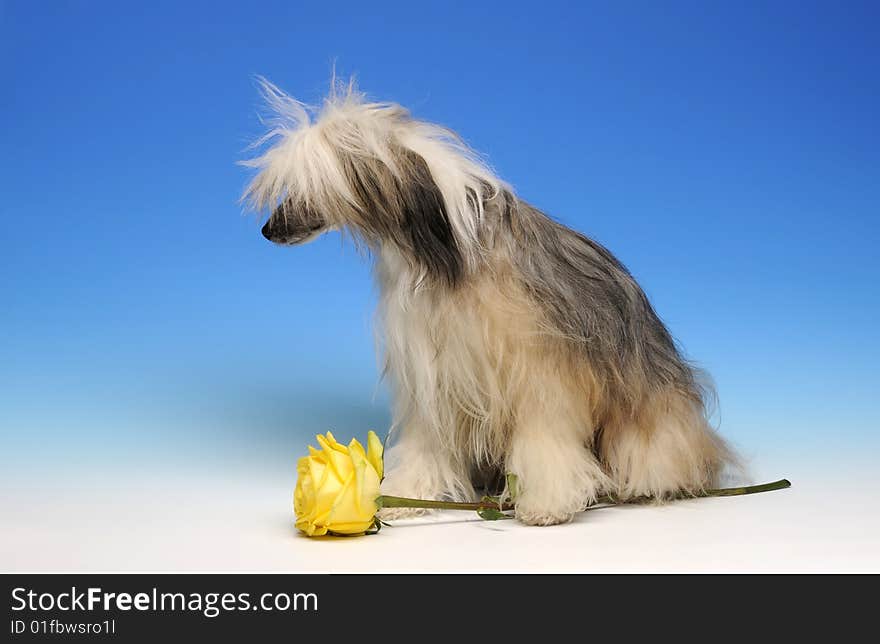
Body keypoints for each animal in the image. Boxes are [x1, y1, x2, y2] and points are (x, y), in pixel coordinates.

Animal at [241, 78, 736, 524]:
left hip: (645, 418)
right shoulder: (431, 374)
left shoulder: (540, 376)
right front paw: (410, 493)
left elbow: (544, 444)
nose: (267, 230)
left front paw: (546, 503)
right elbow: (426, 443)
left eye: (306, 189)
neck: (445, 250)